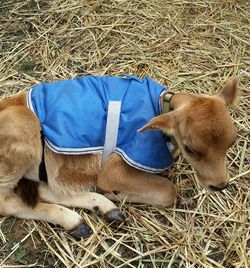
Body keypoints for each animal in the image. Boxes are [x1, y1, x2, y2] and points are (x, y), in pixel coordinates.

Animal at [0, 76, 238, 238]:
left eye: (231, 142)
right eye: (191, 149)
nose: (220, 185)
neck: (160, 105)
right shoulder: (116, 167)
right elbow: (169, 191)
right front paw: (116, 192)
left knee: (46, 188)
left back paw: (102, 210)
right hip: (23, 125)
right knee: (7, 202)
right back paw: (76, 217)